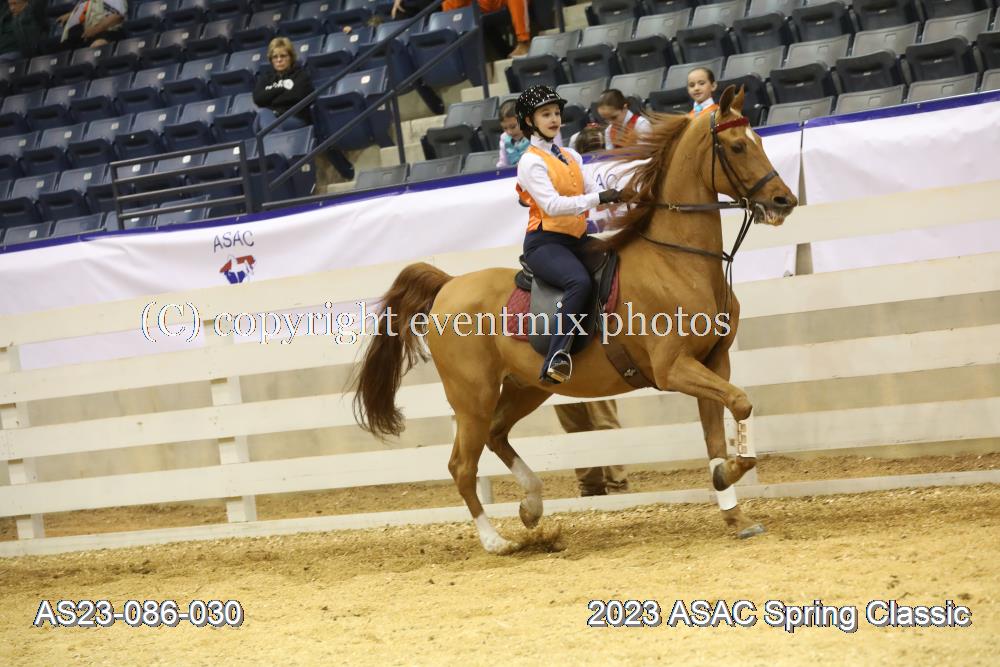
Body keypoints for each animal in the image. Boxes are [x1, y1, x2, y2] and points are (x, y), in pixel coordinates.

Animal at [353, 86, 798, 554]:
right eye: (737, 146)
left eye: (758, 139)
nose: (783, 201)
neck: (677, 261)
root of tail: (449, 284)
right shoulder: (674, 368)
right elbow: (741, 404)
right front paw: (728, 476)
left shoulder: (713, 362)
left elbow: (720, 429)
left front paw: (734, 512)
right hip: (472, 396)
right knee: (462, 464)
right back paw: (496, 541)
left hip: (527, 387)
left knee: (496, 434)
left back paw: (531, 506)